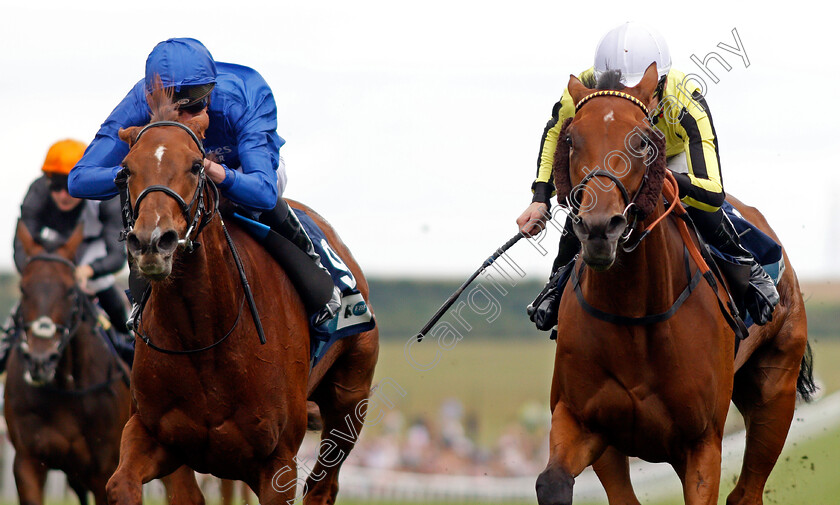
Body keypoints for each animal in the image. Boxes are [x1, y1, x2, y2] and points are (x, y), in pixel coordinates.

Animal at [6, 220, 131, 504]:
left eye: (71, 290)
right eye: (23, 289)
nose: (40, 360)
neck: (64, 386)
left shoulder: (105, 469)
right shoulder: (27, 461)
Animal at [105, 84, 380, 504]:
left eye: (196, 165)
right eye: (125, 171)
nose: (152, 242)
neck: (204, 334)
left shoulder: (277, 462)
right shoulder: (154, 434)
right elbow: (122, 485)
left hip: (350, 400)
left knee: (322, 486)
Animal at [540, 63, 812, 504]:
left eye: (642, 141)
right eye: (571, 139)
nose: (599, 229)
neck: (633, 315)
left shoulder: (702, 445)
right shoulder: (584, 422)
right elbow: (553, 483)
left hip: (775, 392)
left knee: (746, 492)